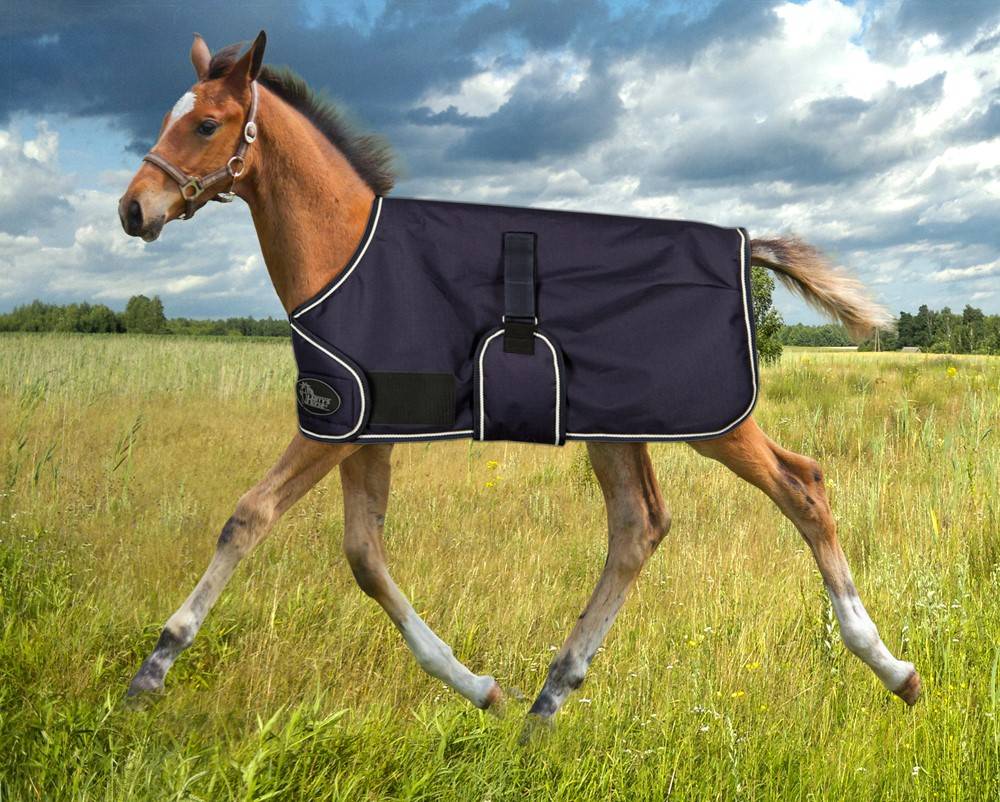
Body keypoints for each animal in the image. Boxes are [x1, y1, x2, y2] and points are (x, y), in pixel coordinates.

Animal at [117, 31, 920, 729]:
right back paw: (547, 699)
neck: (346, 254)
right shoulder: (363, 431)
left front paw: (152, 669)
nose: (133, 209)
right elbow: (365, 556)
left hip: (711, 420)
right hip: (616, 428)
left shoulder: (332, 423)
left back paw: (891, 667)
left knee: (800, 486)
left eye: (207, 123)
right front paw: (478, 687)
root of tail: (746, 246)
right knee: (639, 527)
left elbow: (248, 517)